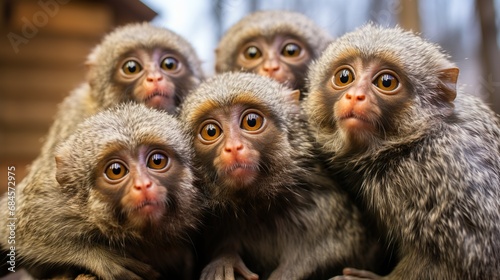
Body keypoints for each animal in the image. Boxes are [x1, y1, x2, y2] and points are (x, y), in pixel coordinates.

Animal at [0, 103, 199, 280]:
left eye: (157, 161)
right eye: (116, 170)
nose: (143, 185)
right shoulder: (47, 200)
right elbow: (11, 227)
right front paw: (97, 256)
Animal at [179, 72, 372, 280]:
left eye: (251, 122)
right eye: (211, 131)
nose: (233, 148)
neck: (259, 204)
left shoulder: (318, 196)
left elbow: (343, 245)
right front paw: (225, 258)